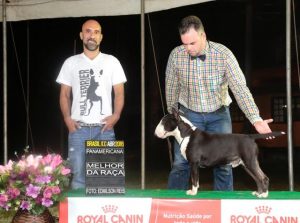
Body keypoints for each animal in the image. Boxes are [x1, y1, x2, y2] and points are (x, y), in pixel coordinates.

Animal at [155, 107, 286, 198]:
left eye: (163, 122)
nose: (155, 133)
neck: (186, 134)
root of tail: (250, 136)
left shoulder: (194, 163)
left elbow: (194, 179)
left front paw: (193, 192)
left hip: (250, 161)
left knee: (263, 177)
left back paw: (264, 195)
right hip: (246, 164)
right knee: (257, 178)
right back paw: (259, 193)